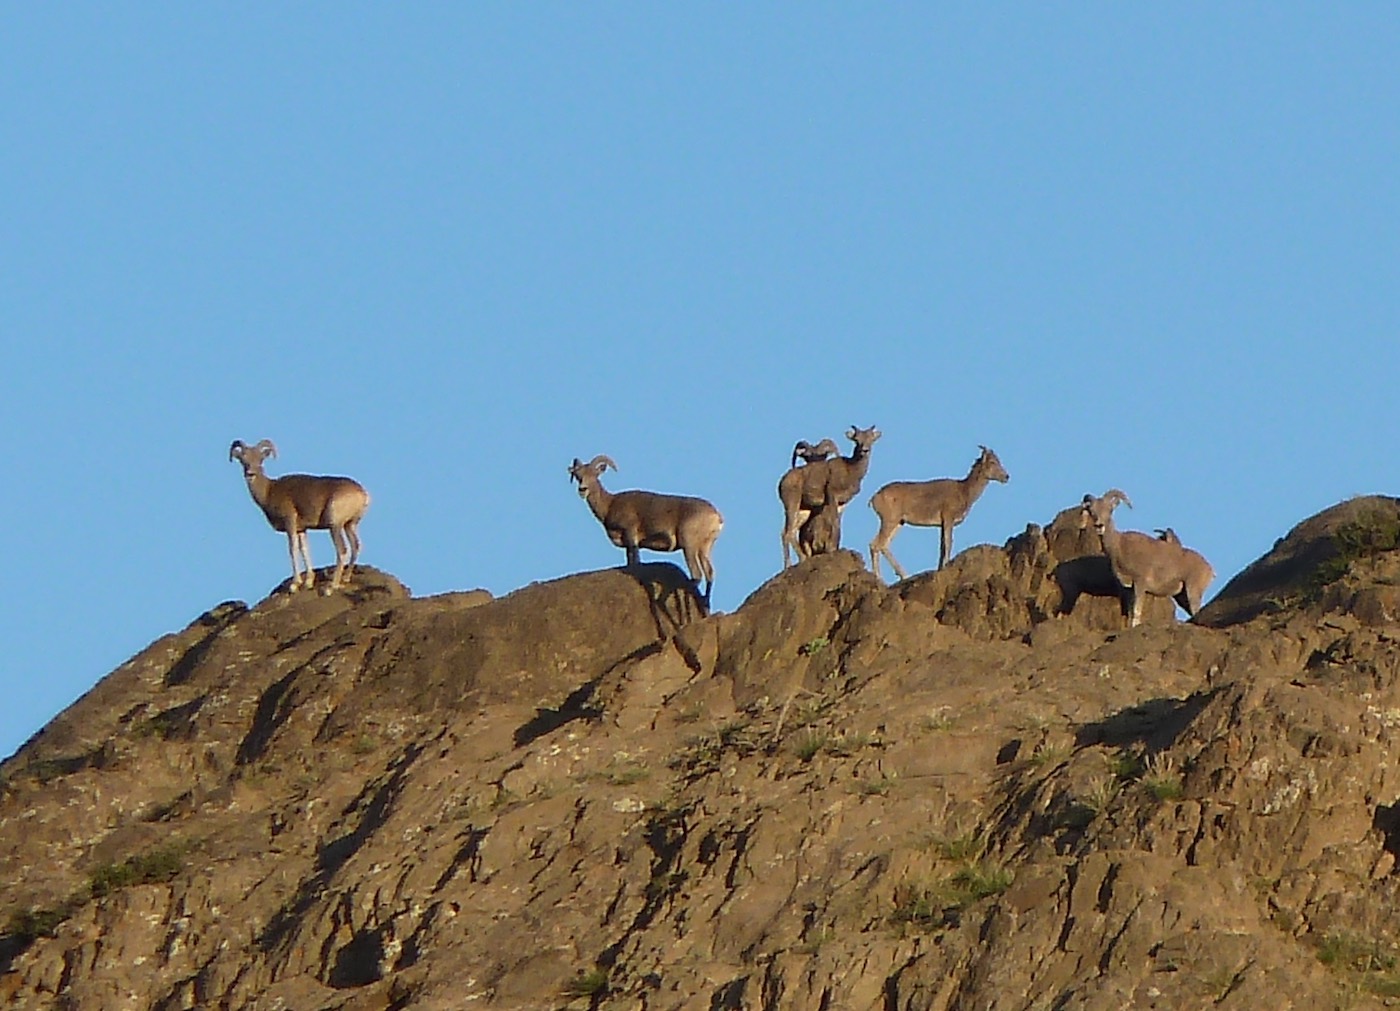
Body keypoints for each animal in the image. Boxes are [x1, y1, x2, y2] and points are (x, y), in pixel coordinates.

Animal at [568, 453, 722, 607]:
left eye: (595, 474)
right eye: (578, 476)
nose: (582, 490)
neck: (609, 505)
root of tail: (716, 516)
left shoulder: (631, 535)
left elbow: (635, 561)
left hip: (688, 545)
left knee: (696, 575)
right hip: (704, 548)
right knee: (709, 573)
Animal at [778, 425, 873, 565]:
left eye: (870, 439)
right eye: (857, 440)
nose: (865, 450)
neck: (851, 470)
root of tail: (783, 481)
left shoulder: (842, 503)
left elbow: (838, 521)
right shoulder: (832, 496)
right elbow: (834, 521)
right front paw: (832, 549)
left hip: (804, 511)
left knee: (788, 532)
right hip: (792, 504)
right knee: (788, 533)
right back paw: (797, 561)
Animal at [1080, 487, 1215, 621]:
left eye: (1110, 509)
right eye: (1092, 511)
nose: (1099, 525)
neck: (1119, 546)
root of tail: (1210, 570)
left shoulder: (1140, 584)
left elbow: (1136, 612)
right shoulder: (1130, 589)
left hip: (1192, 592)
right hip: (1182, 597)